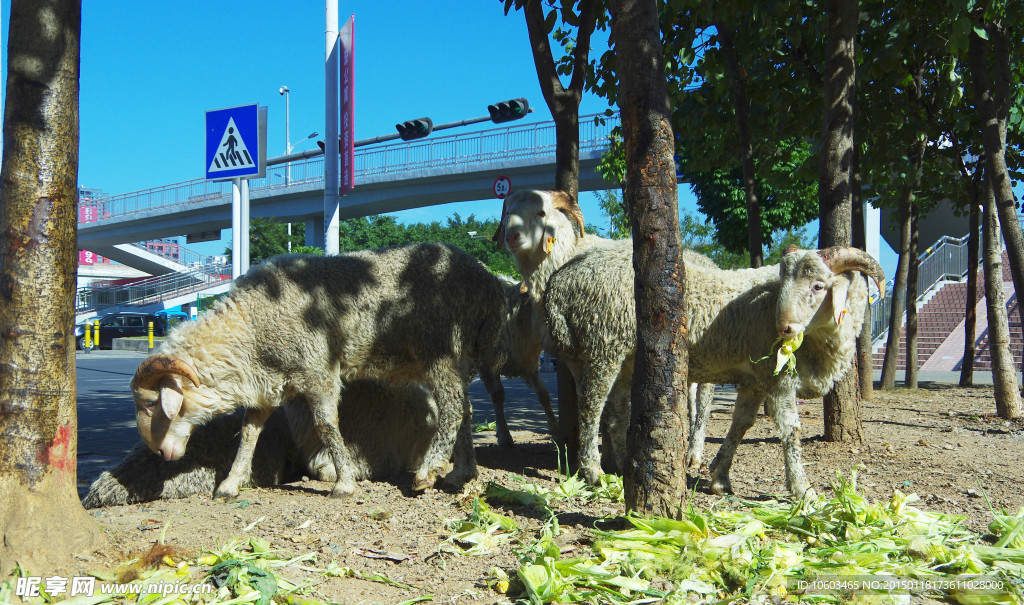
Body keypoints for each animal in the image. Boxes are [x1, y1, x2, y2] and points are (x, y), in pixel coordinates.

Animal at [132, 241, 507, 501]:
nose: (159, 453)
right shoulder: (268, 384)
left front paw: (344, 483)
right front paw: (230, 483)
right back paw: (462, 473)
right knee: (466, 410)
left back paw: (428, 471)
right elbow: (249, 433)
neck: (252, 327)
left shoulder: (317, 367)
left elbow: (327, 425)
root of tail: (487, 280)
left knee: (452, 407)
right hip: (460, 353)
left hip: (441, 344)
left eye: (151, 404)